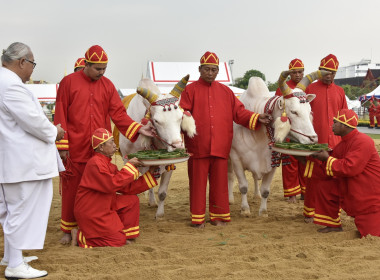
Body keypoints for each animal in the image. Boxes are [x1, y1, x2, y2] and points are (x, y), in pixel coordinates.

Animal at [119, 76, 196, 219]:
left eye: (180, 117)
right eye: (156, 121)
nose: (177, 146)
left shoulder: (169, 164)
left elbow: (162, 192)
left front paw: (159, 215)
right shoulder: (128, 161)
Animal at [227, 70, 328, 217]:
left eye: (310, 111)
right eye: (294, 112)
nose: (313, 139)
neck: (259, 135)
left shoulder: (273, 162)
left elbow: (265, 190)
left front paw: (263, 212)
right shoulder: (236, 159)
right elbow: (243, 186)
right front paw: (245, 209)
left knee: (255, 178)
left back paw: (256, 195)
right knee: (230, 176)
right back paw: (230, 199)